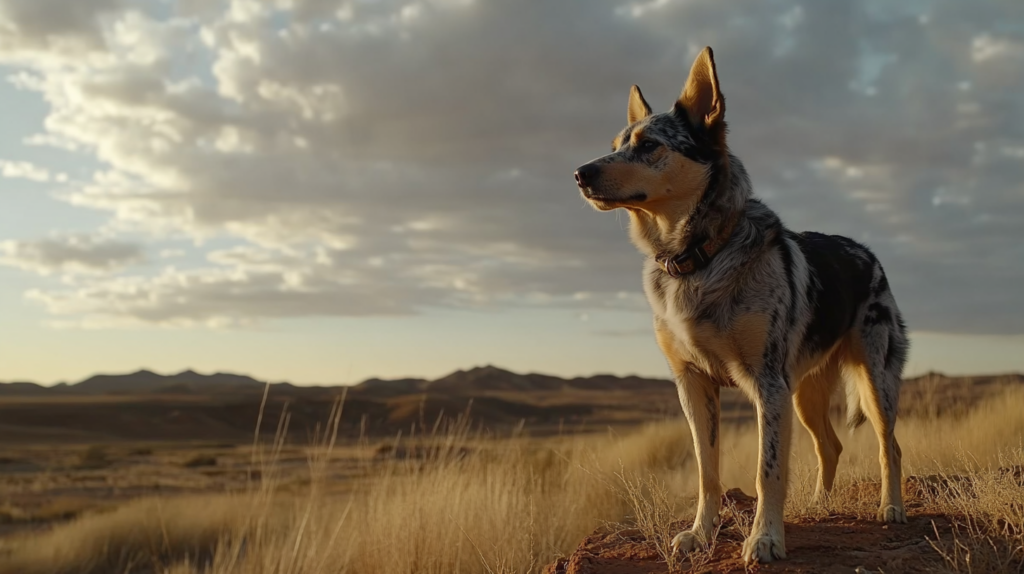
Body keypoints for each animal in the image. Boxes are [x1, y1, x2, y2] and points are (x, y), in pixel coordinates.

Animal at [573, 47, 909, 560]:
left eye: (650, 145)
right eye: (616, 143)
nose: (579, 173)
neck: (697, 259)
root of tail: (868, 254)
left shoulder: (766, 386)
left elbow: (767, 471)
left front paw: (766, 539)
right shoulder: (694, 386)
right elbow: (707, 472)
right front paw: (701, 534)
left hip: (874, 384)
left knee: (890, 446)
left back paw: (891, 509)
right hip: (805, 395)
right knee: (830, 446)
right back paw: (819, 506)